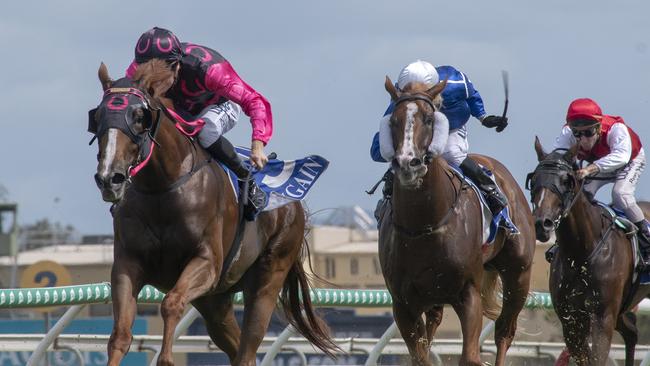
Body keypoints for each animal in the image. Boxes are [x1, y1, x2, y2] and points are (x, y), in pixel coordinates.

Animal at [88, 61, 334, 364]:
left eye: (138, 116)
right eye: (97, 116)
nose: (109, 178)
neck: (162, 188)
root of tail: (295, 205)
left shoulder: (206, 262)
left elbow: (171, 303)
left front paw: (166, 358)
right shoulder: (127, 263)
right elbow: (120, 334)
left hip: (267, 278)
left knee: (248, 344)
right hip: (215, 300)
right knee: (237, 347)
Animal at [378, 78, 536, 364]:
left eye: (429, 119)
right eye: (393, 120)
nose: (408, 164)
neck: (424, 225)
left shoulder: (468, 293)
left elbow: (470, 356)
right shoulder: (403, 304)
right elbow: (421, 356)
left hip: (518, 274)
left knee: (504, 331)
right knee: (433, 324)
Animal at [528, 139, 648, 364]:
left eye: (566, 181)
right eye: (534, 180)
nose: (541, 224)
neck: (581, 252)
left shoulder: (603, 317)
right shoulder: (571, 320)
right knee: (632, 332)